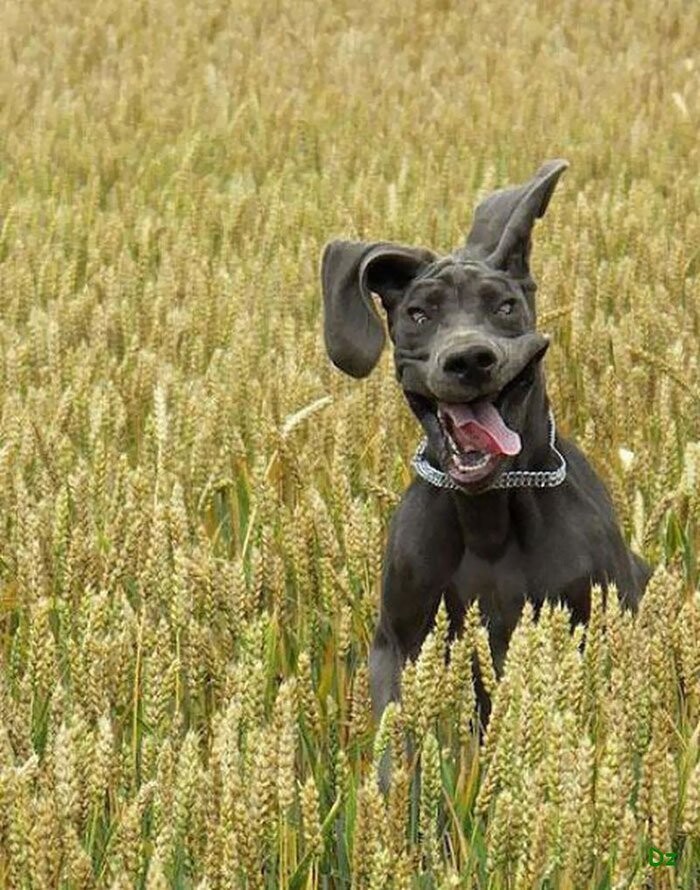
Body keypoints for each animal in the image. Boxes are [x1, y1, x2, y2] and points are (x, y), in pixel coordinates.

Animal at [320, 158, 648, 736]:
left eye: (505, 307)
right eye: (419, 315)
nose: (469, 359)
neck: (490, 511)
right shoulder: (398, 645)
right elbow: (399, 741)